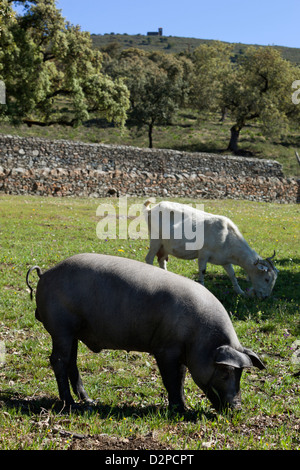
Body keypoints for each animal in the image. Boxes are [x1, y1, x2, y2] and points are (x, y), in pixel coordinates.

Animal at [26, 253, 264, 412]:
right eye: (225, 372)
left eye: (241, 374)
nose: (237, 408)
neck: (201, 338)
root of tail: (45, 274)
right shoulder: (166, 349)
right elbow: (172, 379)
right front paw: (181, 411)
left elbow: (181, 379)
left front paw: (183, 408)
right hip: (61, 328)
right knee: (58, 360)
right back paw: (71, 405)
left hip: (72, 332)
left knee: (71, 362)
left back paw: (89, 401)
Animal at [144, 198, 278, 298]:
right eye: (267, 279)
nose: (265, 297)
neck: (226, 237)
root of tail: (151, 210)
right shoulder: (203, 254)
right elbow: (202, 271)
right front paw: (203, 287)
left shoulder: (225, 259)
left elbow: (232, 274)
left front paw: (240, 292)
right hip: (155, 240)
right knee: (149, 258)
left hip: (165, 246)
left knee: (162, 260)